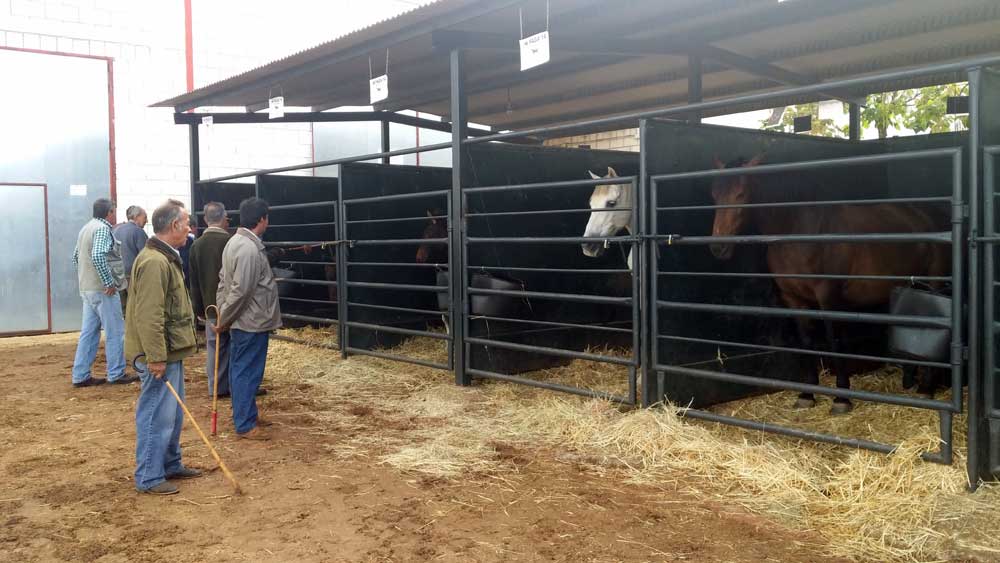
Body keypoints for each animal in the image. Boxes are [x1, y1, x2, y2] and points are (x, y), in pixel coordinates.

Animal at [708, 154, 948, 414]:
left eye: (741, 194)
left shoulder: (828, 297)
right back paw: (911, 383)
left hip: (934, 284)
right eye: (715, 194)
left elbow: (835, 343)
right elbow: (806, 342)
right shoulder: (794, 299)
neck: (799, 231)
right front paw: (807, 395)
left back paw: (926, 390)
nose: (718, 247)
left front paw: (841, 398)